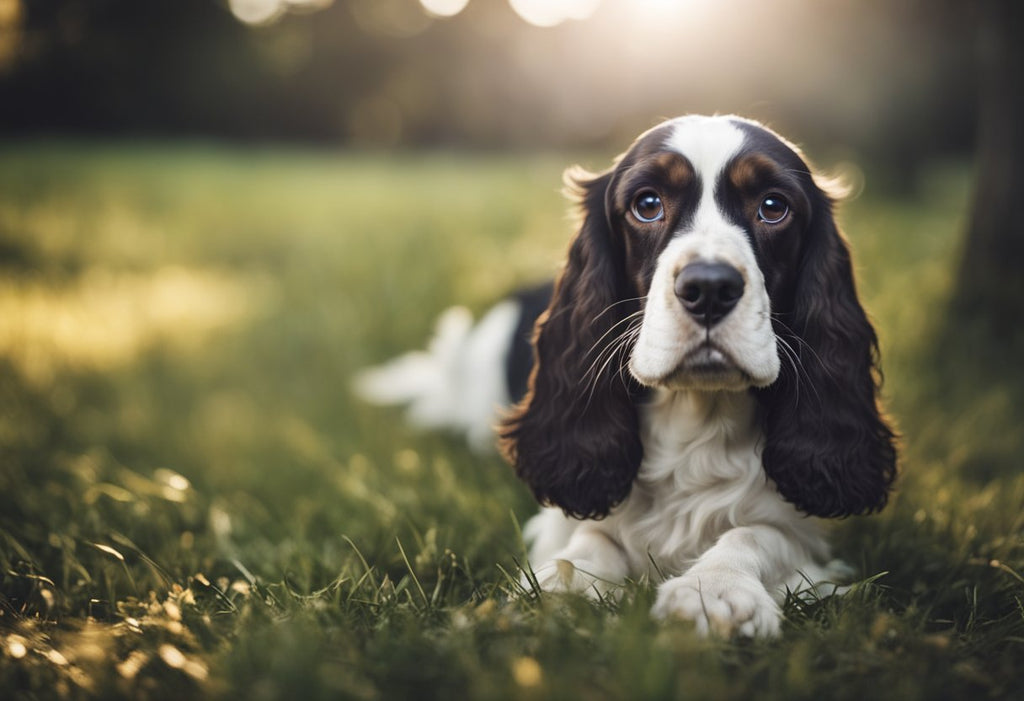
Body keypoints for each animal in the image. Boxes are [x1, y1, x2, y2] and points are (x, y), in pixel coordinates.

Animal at [358, 114, 897, 634]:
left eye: (773, 206)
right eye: (647, 204)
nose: (709, 287)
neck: (695, 416)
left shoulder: (802, 524)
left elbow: (756, 534)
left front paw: (714, 592)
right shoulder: (562, 510)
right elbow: (588, 539)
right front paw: (559, 590)